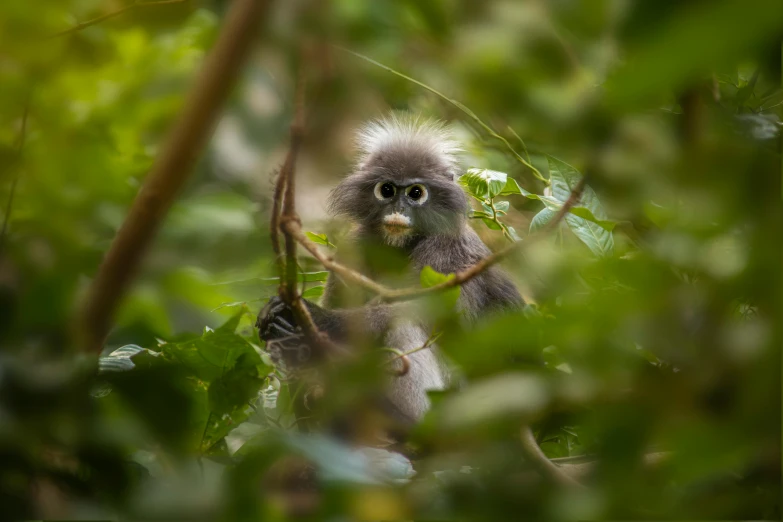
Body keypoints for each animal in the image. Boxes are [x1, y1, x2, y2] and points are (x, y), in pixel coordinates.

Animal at [260, 112, 524, 422]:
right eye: (386, 190)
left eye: (416, 192)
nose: (398, 209)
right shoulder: (354, 245)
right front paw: (280, 328)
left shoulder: (450, 250)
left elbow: (430, 312)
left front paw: (317, 318)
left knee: (402, 327)